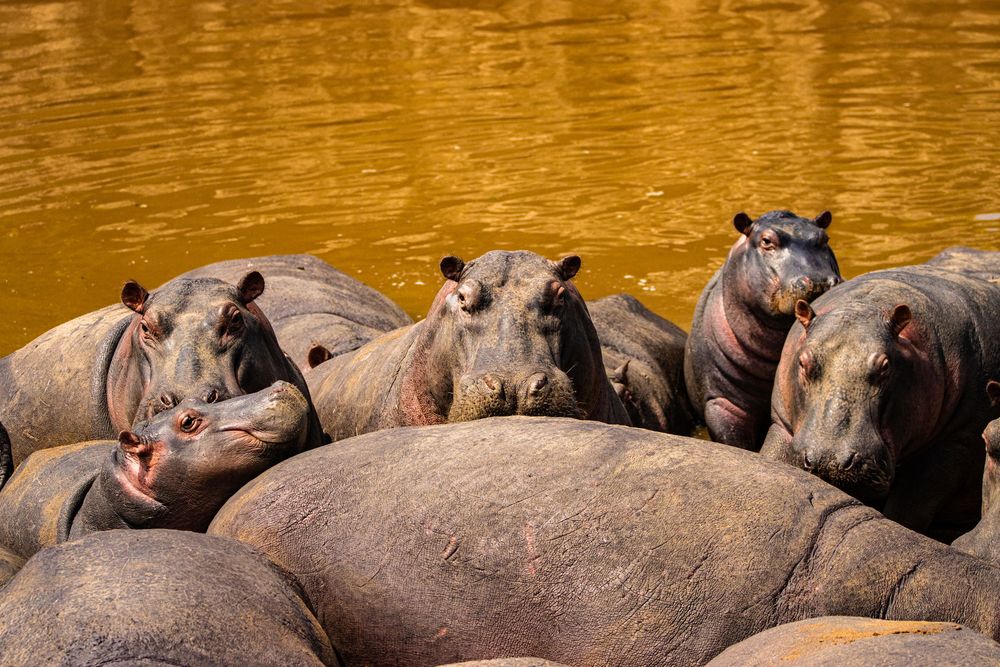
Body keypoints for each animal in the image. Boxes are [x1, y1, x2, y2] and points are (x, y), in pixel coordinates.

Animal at [761, 261, 1000, 539]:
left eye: (885, 366)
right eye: (803, 361)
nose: (829, 461)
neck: (867, 304)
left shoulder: (955, 443)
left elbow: (908, 507)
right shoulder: (781, 425)